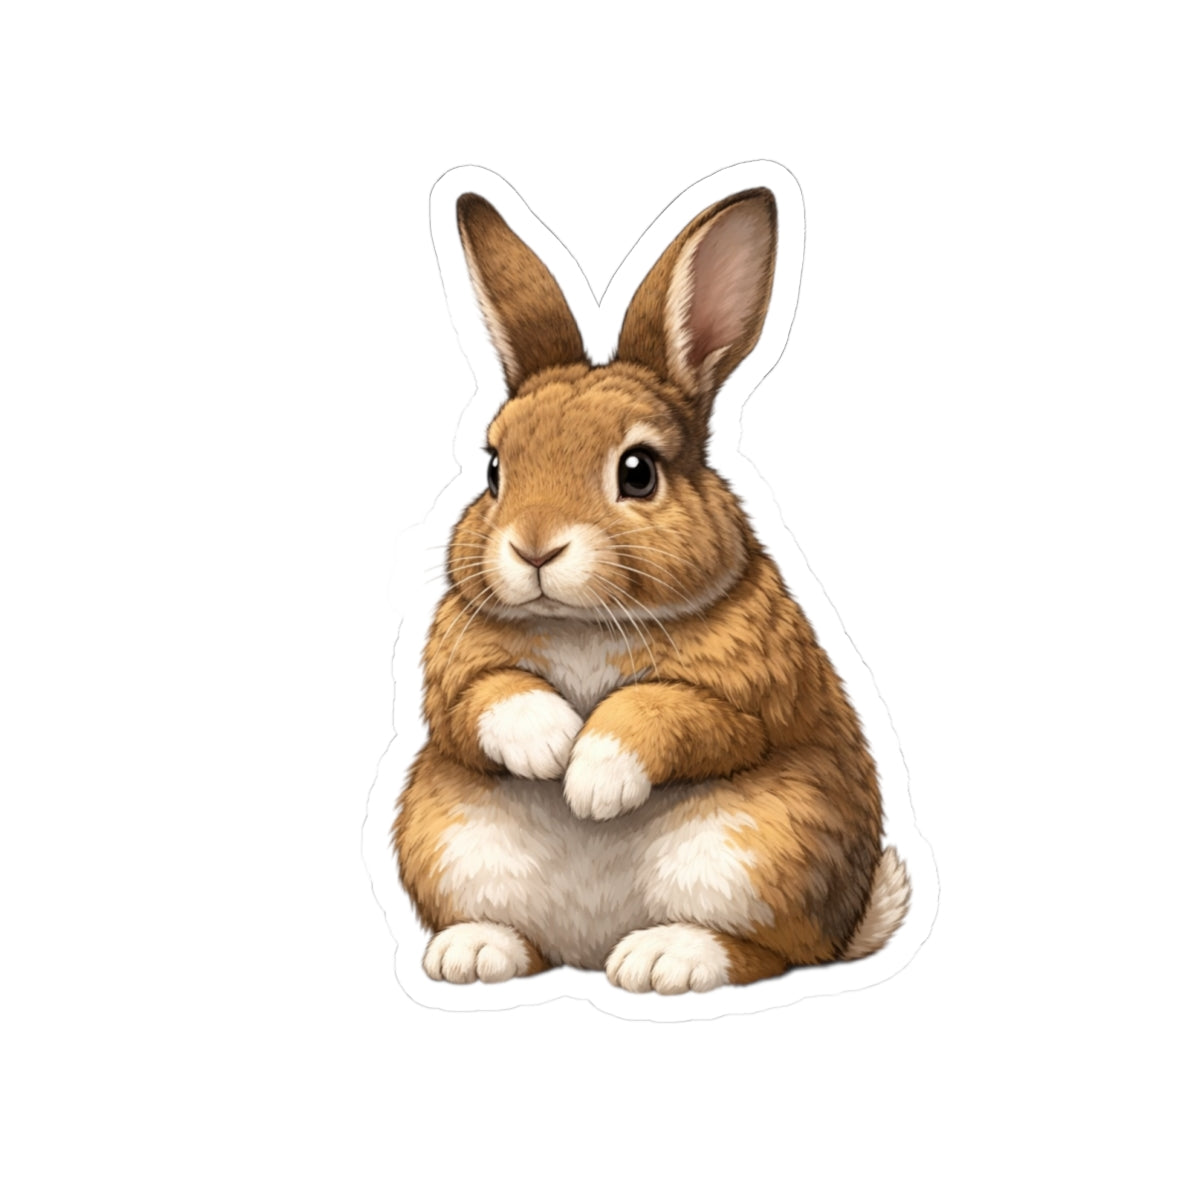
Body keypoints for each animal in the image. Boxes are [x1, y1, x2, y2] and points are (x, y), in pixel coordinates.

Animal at [392, 185, 911, 994]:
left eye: (637, 471)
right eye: (495, 469)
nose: (534, 547)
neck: (582, 623)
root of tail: (588, 948)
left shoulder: (744, 701)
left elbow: (664, 711)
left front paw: (590, 781)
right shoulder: (453, 682)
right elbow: (484, 698)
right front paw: (548, 748)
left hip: (761, 849)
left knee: (771, 954)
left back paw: (665, 958)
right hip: (444, 832)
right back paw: (473, 953)